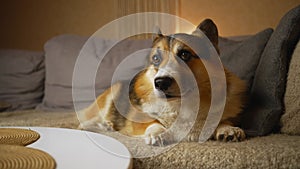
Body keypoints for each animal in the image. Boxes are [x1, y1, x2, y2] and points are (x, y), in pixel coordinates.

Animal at [78, 18, 247, 145]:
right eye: (156, 58)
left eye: (185, 54)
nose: (160, 83)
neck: (181, 105)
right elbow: (153, 122)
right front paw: (159, 133)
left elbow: (222, 120)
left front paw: (227, 129)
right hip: (111, 95)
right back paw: (99, 126)